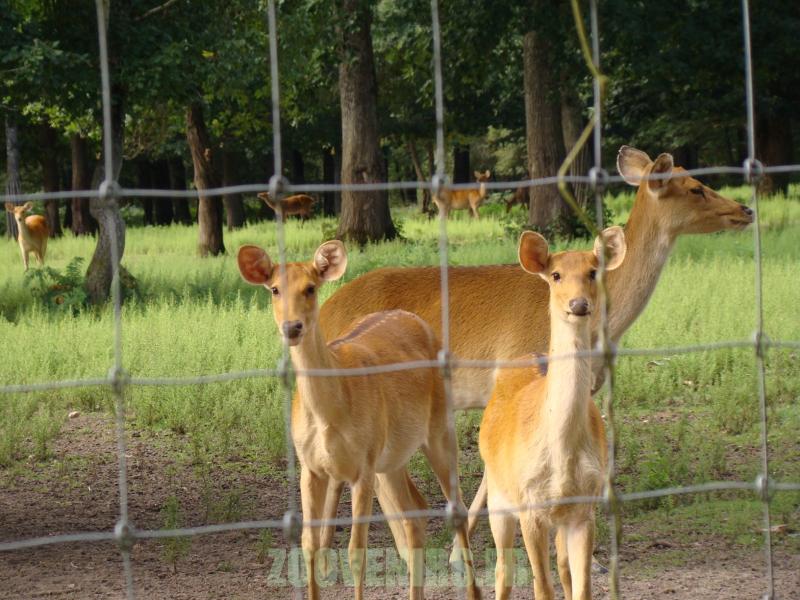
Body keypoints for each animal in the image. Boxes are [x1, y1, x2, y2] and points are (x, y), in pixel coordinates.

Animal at [237, 240, 481, 600]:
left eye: (311, 287)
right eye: (274, 289)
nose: (292, 327)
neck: (330, 413)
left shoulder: (363, 465)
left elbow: (356, 552)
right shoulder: (310, 466)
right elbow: (309, 545)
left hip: (438, 428)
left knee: (456, 508)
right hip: (391, 457)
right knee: (414, 512)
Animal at [481, 227, 625, 600]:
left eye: (593, 271)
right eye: (556, 274)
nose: (578, 304)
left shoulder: (584, 508)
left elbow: (581, 587)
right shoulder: (529, 504)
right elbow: (541, 587)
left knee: (562, 569)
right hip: (498, 498)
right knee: (504, 569)